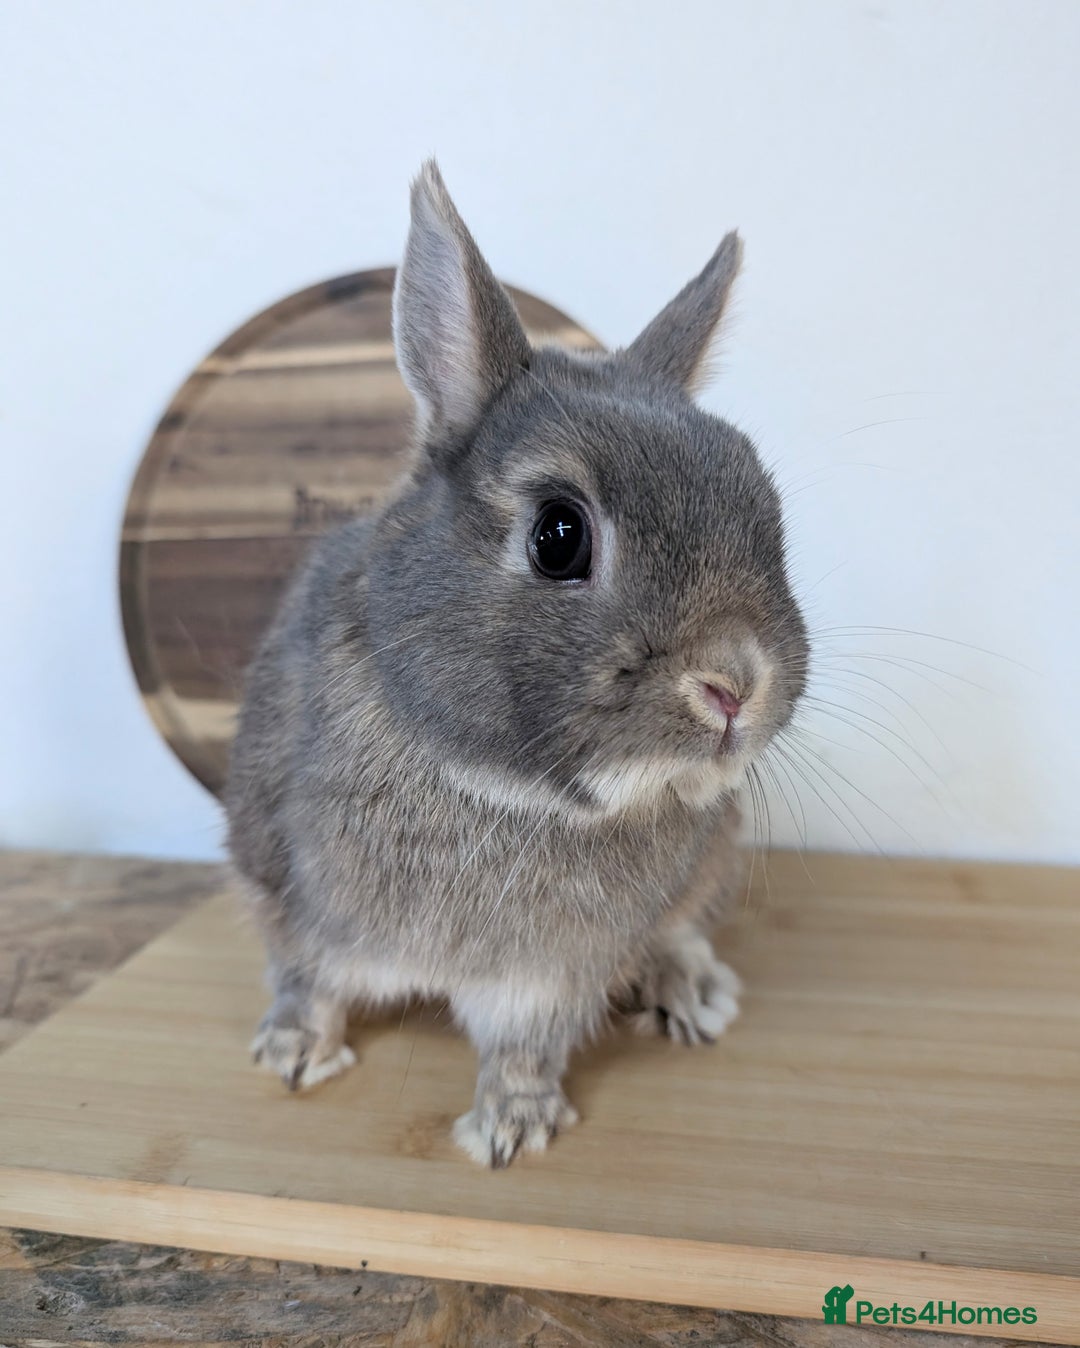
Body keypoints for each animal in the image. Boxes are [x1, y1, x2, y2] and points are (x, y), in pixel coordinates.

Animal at [224, 160, 809, 1168]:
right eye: (559, 535)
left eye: (765, 509)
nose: (737, 683)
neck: (502, 791)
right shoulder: (291, 897)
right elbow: (307, 979)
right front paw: (293, 1054)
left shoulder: (549, 973)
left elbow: (527, 1044)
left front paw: (511, 1129)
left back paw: (689, 990)